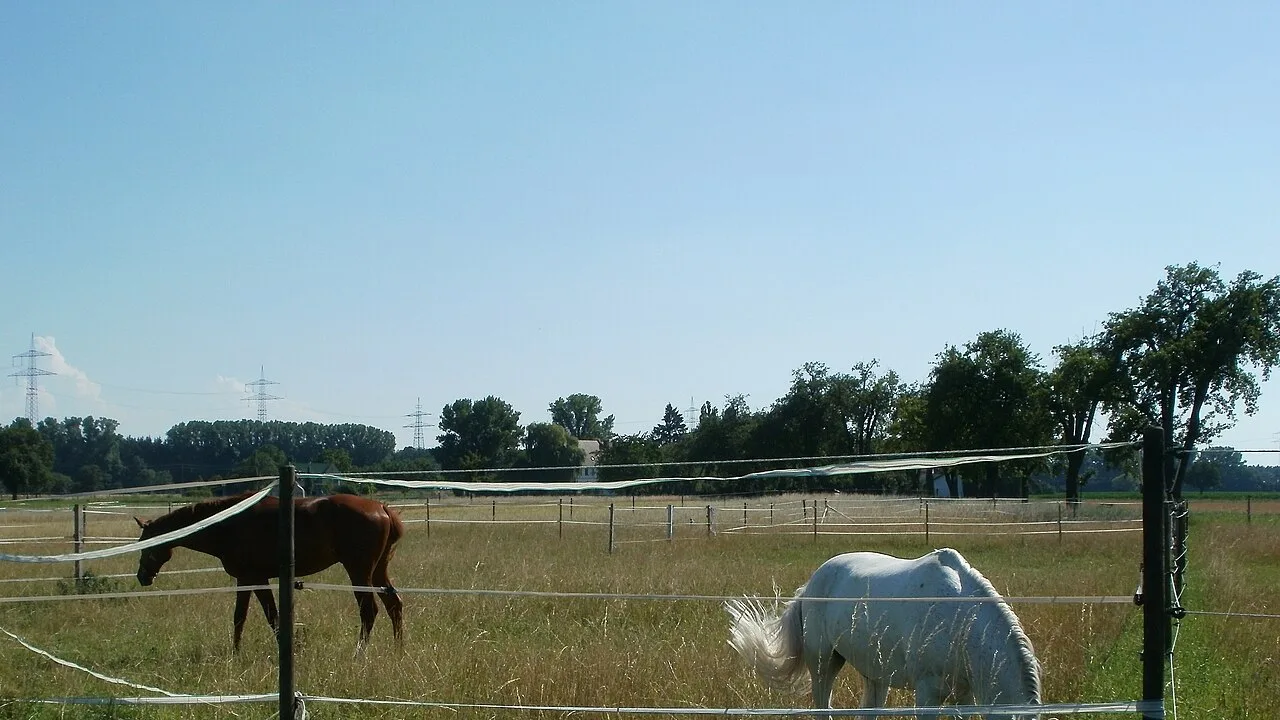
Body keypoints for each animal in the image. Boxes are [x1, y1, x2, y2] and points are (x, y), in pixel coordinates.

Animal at [134, 492, 405, 653]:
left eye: (145, 543)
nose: (142, 576)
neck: (229, 524)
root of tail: (382, 507)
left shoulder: (250, 578)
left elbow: (249, 617)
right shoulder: (253, 580)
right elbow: (262, 617)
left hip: (359, 572)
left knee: (369, 611)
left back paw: (359, 653)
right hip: (378, 572)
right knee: (394, 605)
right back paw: (398, 650)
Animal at [726, 548, 1041, 720]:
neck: (961, 620)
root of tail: (812, 583)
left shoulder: (964, 695)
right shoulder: (927, 693)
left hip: (875, 675)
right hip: (824, 664)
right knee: (823, 706)